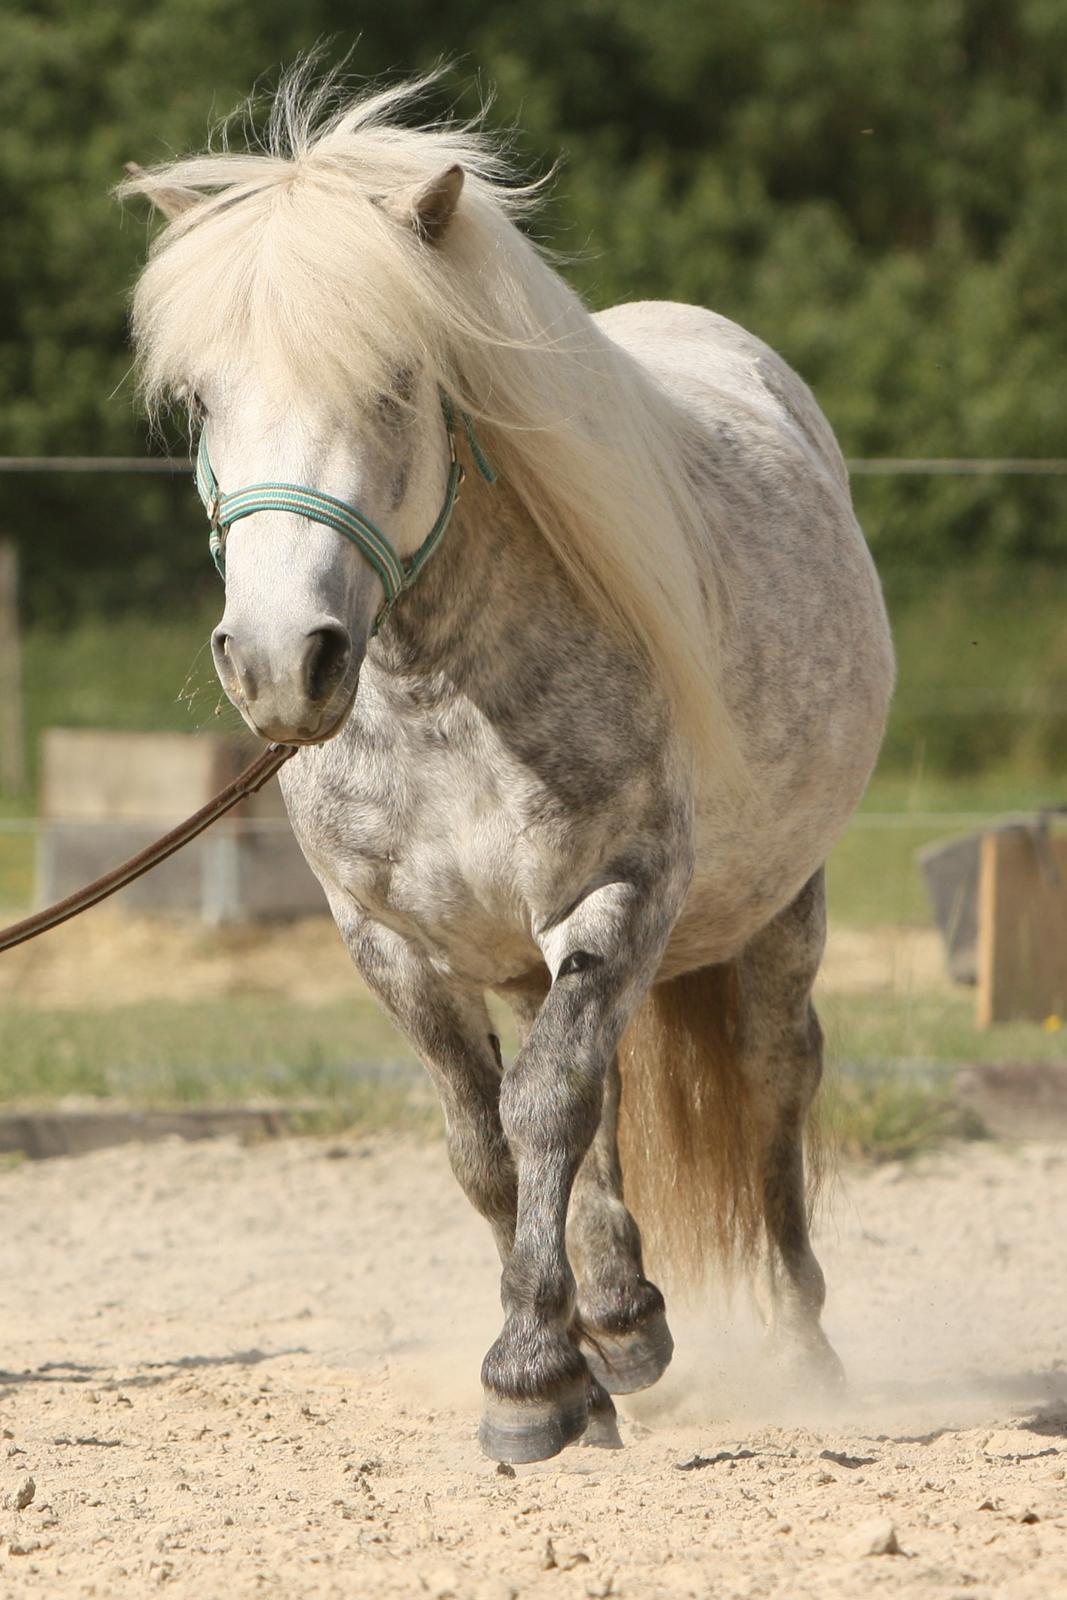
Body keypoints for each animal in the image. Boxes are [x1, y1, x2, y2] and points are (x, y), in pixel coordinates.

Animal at [120, 68, 895, 1465]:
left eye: (393, 382)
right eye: (204, 398)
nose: (279, 662)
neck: (440, 688)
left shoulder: (618, 895)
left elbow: (546, 1112)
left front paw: (530, 1379)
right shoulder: (386, 939)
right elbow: (487, 1143)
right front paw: (574, 1363)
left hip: (775, 913)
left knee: (766, 1088)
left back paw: (796, 1351)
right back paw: (624, 1321)